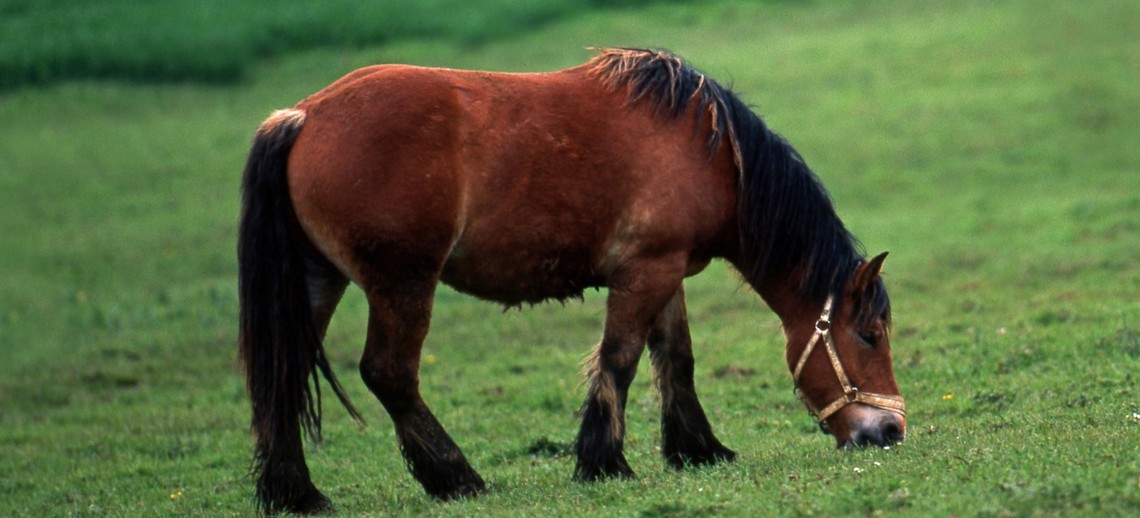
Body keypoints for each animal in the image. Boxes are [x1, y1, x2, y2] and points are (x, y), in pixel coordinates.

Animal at [235, 47, 902, 513]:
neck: (711, 151)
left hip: (319, 281)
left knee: (282, 375)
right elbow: (621, 358)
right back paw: (456, 477)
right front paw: (603, 461)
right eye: (868, 335)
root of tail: (302, 117)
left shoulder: (667, 272)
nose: (891, 430)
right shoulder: (644, 271)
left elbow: (676, 358)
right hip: (403, 284)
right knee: (389, 373)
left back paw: (298, 494)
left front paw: (698, 449)